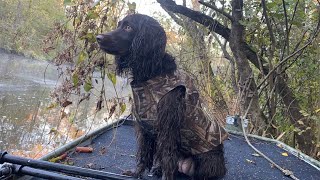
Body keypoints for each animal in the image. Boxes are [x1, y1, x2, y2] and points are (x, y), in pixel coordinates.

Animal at [96, 13, 229, 179]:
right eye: (119, 24)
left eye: (128, 27)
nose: (98, 37)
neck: (151, 73)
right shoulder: (144, 125)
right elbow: (144, 152)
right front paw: (136, 173)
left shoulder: (167, 128)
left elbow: (167, 158)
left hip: (208, 160)